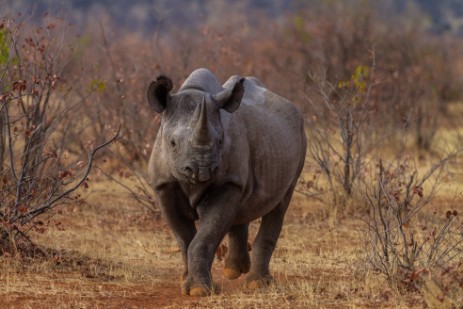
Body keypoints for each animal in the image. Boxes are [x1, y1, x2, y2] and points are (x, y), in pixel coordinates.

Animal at [149, 68, 308, 296]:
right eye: (172, 143)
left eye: (220, 142)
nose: (201, 169)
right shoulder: (163, 185)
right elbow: (184, 238)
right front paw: (187, 283)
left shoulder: (228, 182)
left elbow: (205, 236)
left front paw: (199, 291)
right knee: (243, 207)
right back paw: (234, 271)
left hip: (300, 136)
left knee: (281, 202)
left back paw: (256, 283)